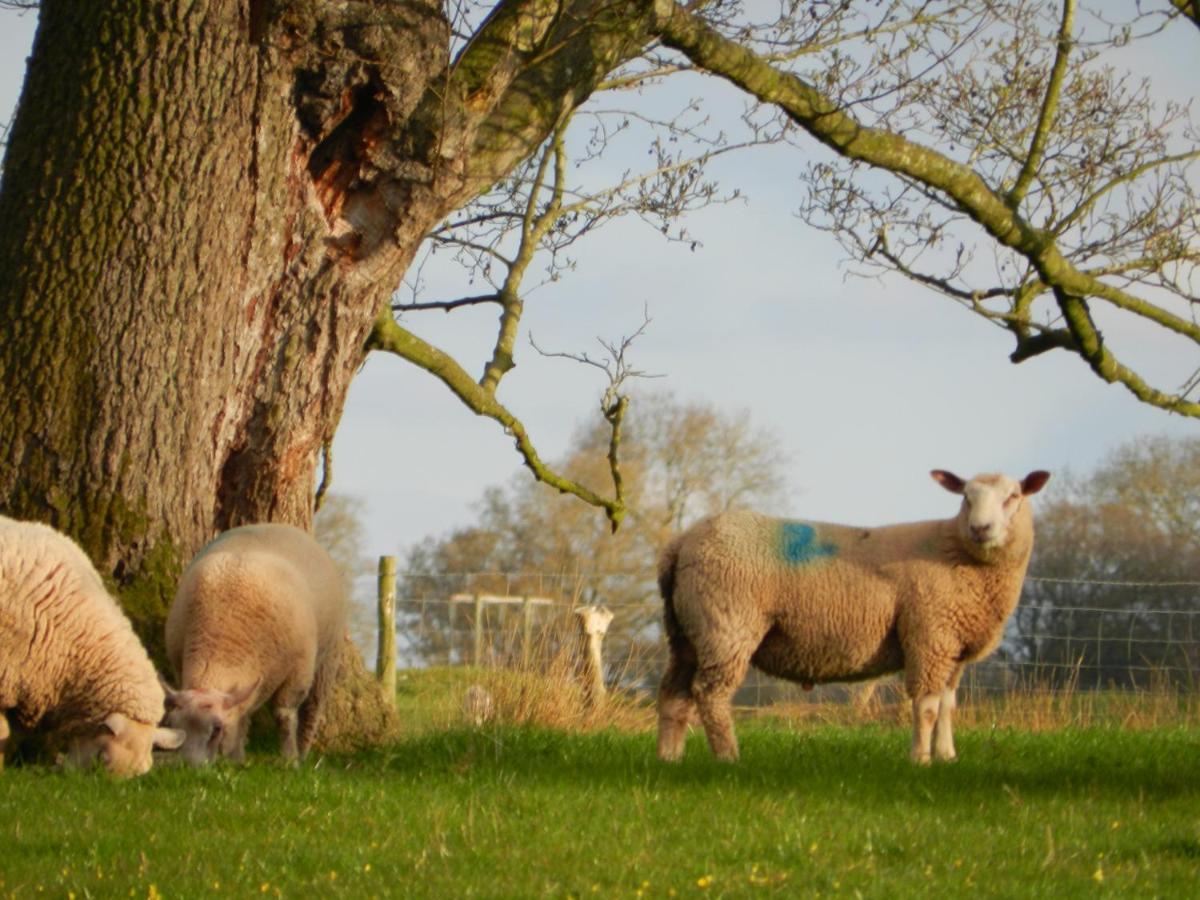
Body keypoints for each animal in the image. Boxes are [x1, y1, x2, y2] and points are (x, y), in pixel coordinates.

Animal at [163, 525, 348, 763]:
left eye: (216, 729)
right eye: (172, 725)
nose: (188, 766)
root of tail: (281, 526)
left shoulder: (298, 671)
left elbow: (284, 714)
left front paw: (290, 759)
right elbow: (243, 713)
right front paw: (237, 758)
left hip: (329, 656)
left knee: (313, 708)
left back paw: (303, 752)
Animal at [657, 472, 1051, 768]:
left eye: (1013, 496)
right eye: (966, 497)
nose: (981, 528)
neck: (957, 552)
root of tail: (681, 544)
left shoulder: (952, 647)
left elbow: (947, 705)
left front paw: (947, 756)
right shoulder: (930, 636)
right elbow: (926, 707)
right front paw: (921, 760)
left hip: (687, 634)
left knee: (674, 694)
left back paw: (669, 758)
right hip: (726, 625)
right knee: (710, 694)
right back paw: (728, 758)